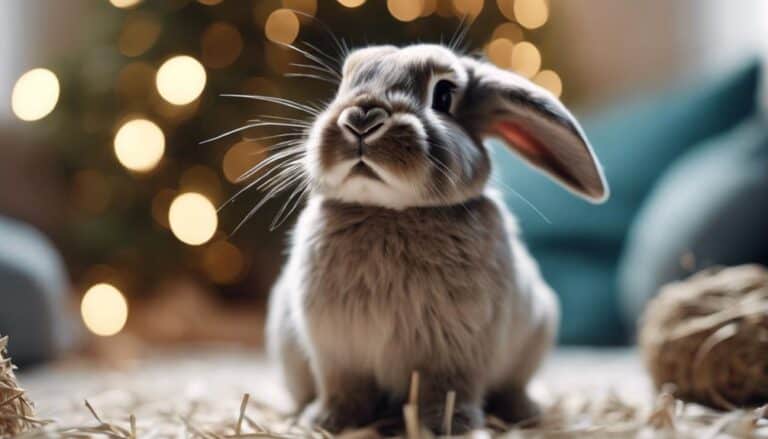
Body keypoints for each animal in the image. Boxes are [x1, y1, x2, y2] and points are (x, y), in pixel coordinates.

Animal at [265, 43, 608, 435]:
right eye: (343, 84)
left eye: (443, 96)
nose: (361, 120)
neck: (392, 211)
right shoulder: (337, 352)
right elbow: (344, 388)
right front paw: (329, 423)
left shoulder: (454, 353)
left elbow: (446, 392)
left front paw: (450, 426)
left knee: (512, 387)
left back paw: (524, 412)